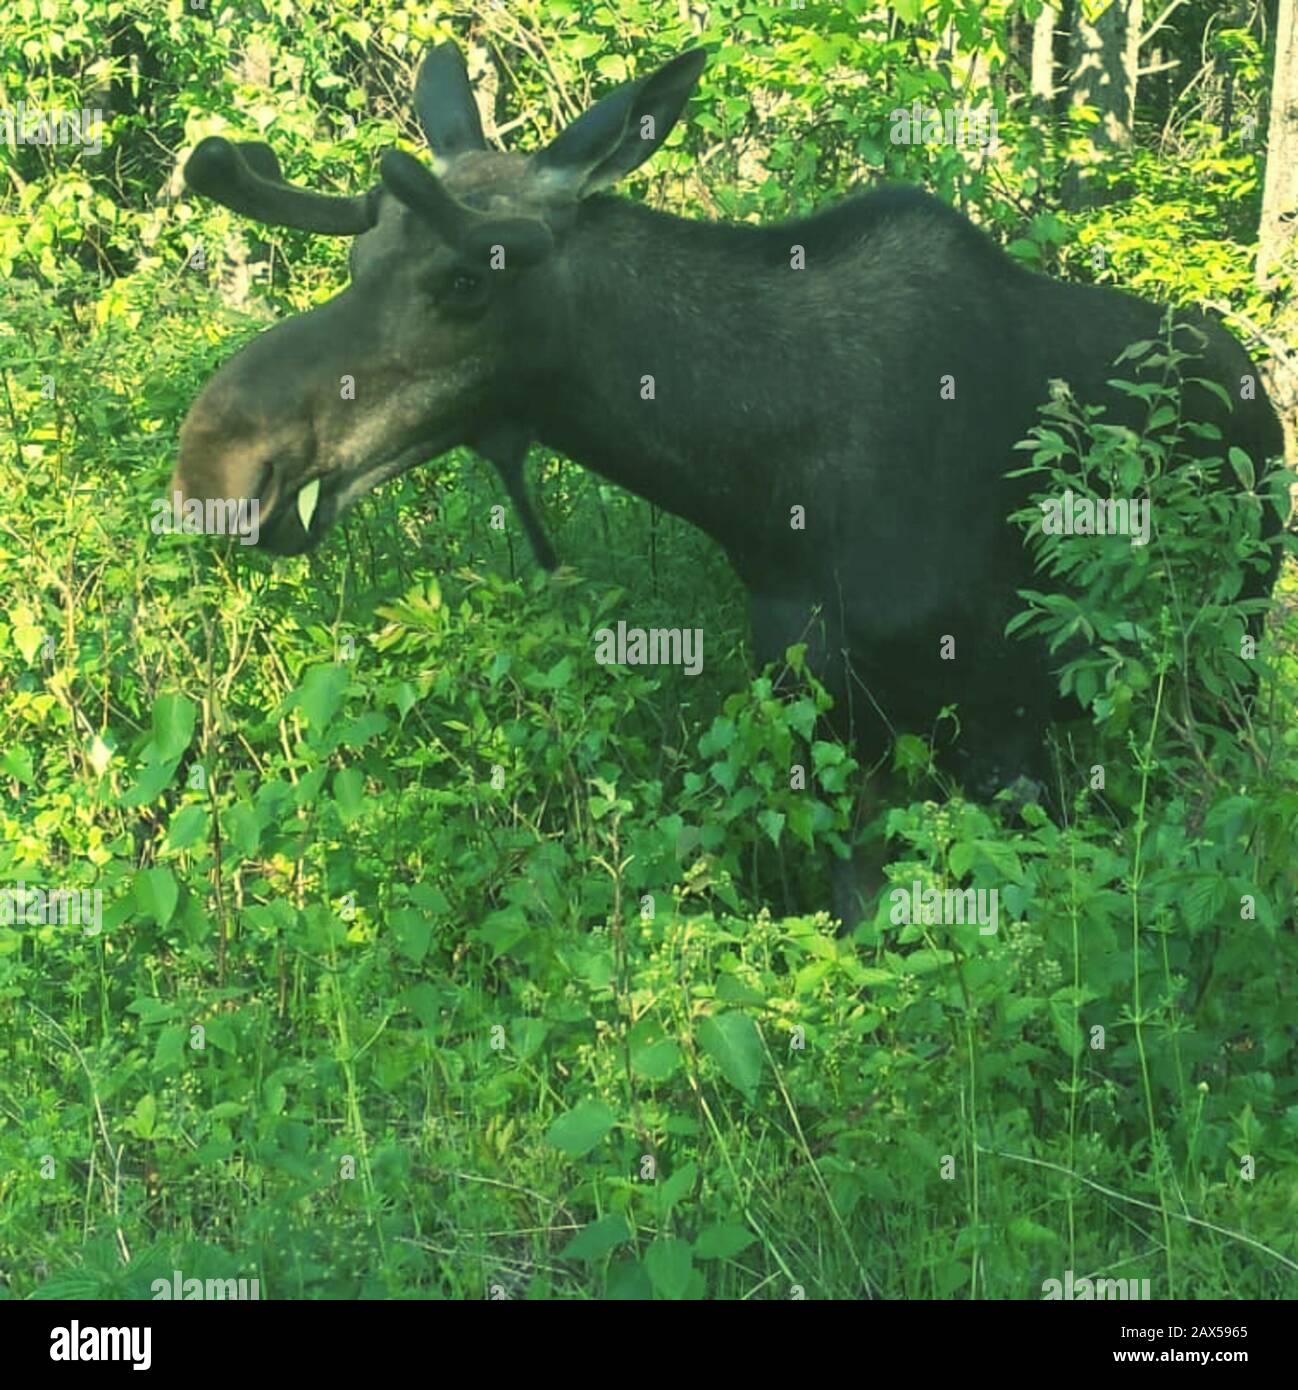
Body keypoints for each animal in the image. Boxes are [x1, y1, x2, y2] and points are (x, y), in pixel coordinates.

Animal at [175, 43, 1289, 922]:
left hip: (1221, 653)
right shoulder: (826, 720)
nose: (214, 464)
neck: (759, 496)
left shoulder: (1008, 725)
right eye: (356, 259)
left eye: (467, 278)